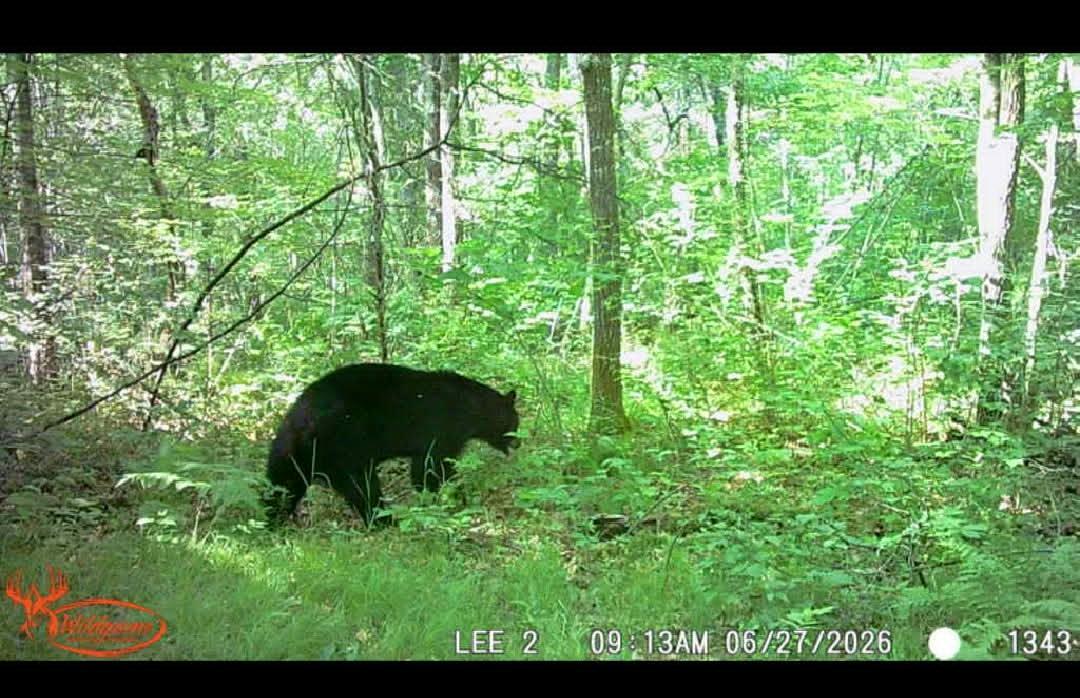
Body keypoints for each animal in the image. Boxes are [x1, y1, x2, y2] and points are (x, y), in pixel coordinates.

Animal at [263, 363, 520, 528]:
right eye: (515, 422)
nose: (519, 442)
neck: (471, 409)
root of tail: (302, 418)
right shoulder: (442, 430)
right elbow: (430, 468)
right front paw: (454, 498)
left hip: (290, 452)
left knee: (282, 486)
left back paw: (272, 521)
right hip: (345, 443)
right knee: (363, 487)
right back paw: (386, 520)